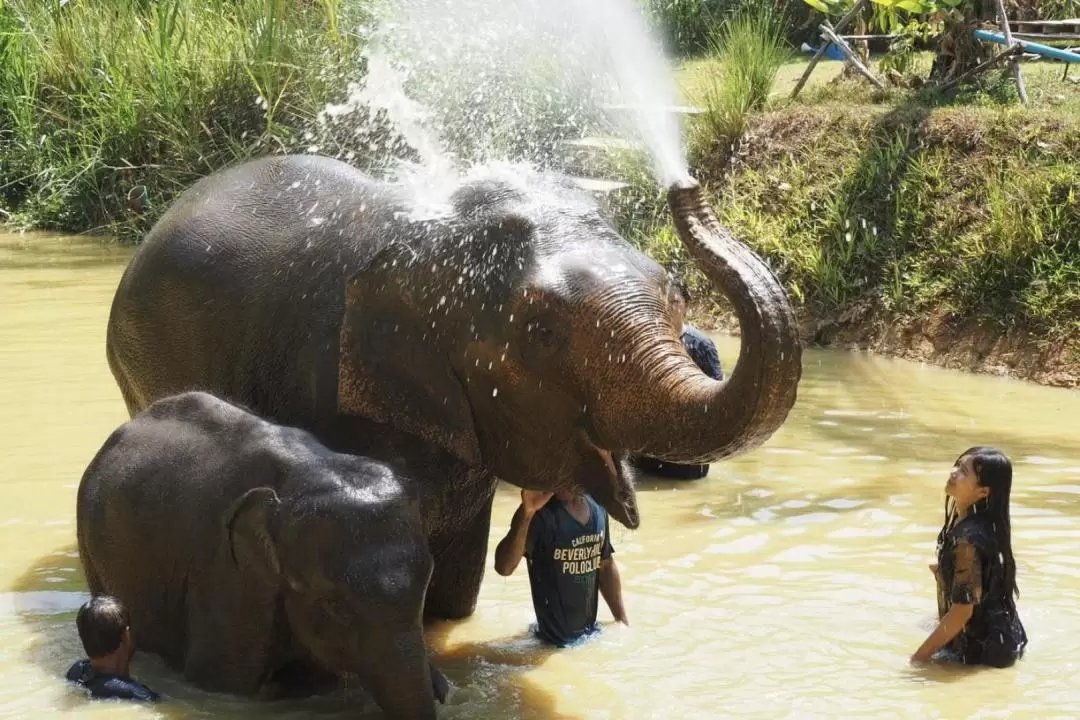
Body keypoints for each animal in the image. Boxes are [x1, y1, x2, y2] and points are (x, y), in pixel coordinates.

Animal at [75, 390, 447, 716]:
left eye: (426, 586)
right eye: (335, 605)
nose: (440, 688)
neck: (306, 471)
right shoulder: (227, 574)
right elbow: (219, 679)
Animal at [107, 155, 803, 621]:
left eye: (676, 295)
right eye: (543, 333)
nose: (685, 184)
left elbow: (457, 594)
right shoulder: (328, 389)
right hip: (136, 362)